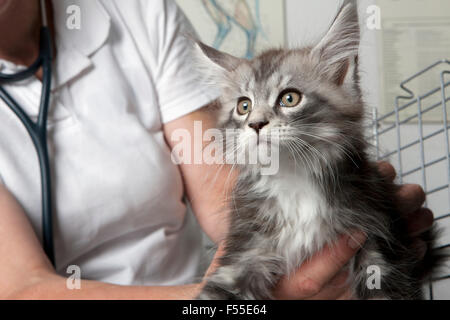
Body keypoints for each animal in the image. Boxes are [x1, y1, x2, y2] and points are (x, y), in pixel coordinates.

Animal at [193, 1, 442, 300]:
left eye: (290, 98)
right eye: (244, 106)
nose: (255, 124)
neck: (294, 182)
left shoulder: (379, 240)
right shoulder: (243, 252)